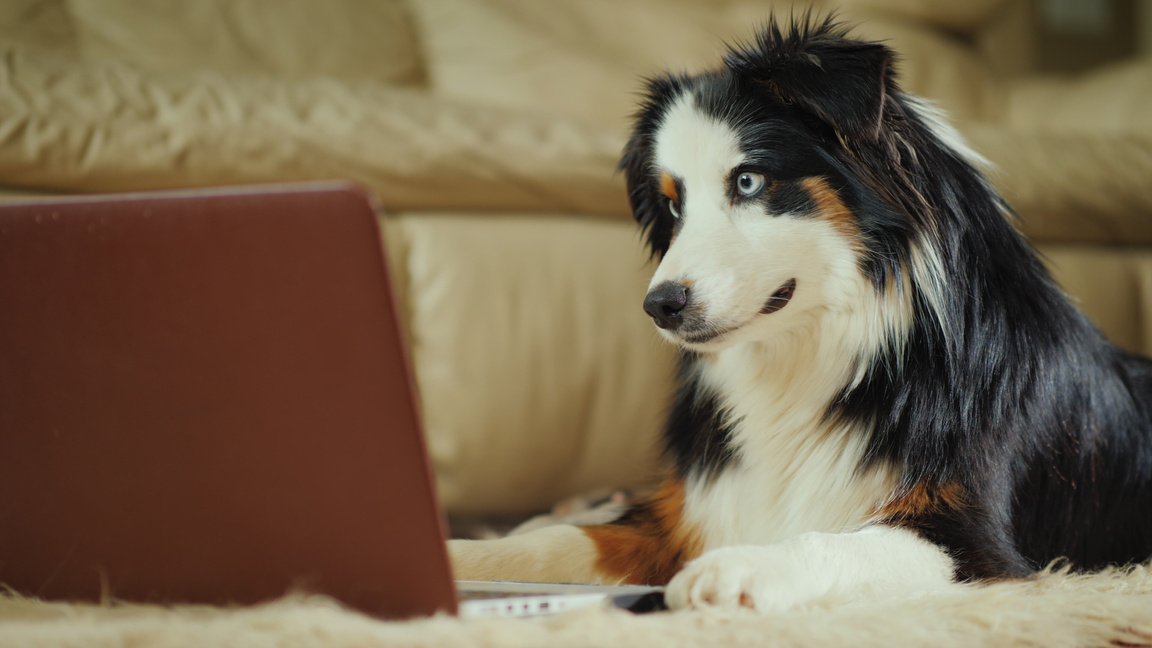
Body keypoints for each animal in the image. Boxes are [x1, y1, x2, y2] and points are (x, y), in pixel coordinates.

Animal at [446, 16, 1152, 608]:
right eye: (673, 205)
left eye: (748, 181)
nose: (659, 306)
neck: (809, 358)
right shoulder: (691, 509)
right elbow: (549, 543)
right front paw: (456, 555)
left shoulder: (971, 538)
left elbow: (836, 541)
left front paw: (739, 566)